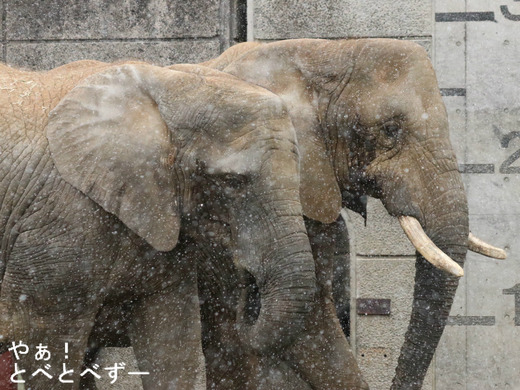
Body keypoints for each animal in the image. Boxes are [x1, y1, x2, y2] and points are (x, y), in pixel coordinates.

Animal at [0, 61, 318, 390]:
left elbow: (170, 340)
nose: (248, 290)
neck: (169, 83)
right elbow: (44, 336)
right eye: (232, 182)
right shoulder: (61, 222)